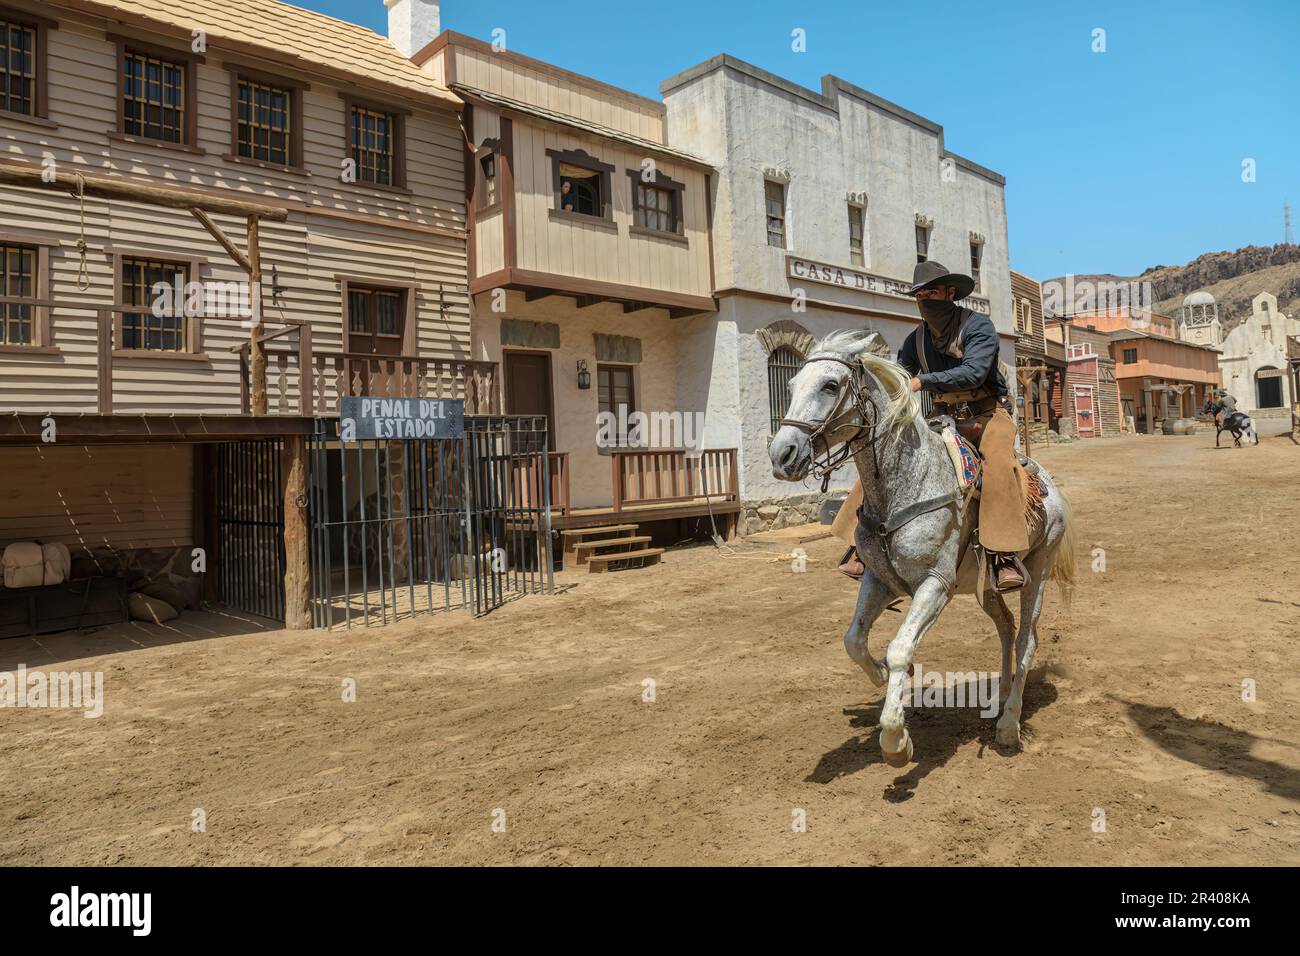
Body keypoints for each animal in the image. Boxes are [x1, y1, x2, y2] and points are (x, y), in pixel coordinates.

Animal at [769, 332, 1076, 764]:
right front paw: (882, 676)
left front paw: (896, 741)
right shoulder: (879, 581)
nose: (782, 455)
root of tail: (1048, 485)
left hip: (1040, 570)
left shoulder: (934, 585)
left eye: (830, 385)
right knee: (1005, 625)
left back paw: (1009, 725)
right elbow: (854, 642)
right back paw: (999, 695)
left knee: (1026, 639)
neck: (907, 484)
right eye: (793, 385)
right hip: (986, 586)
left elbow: (901, 648)